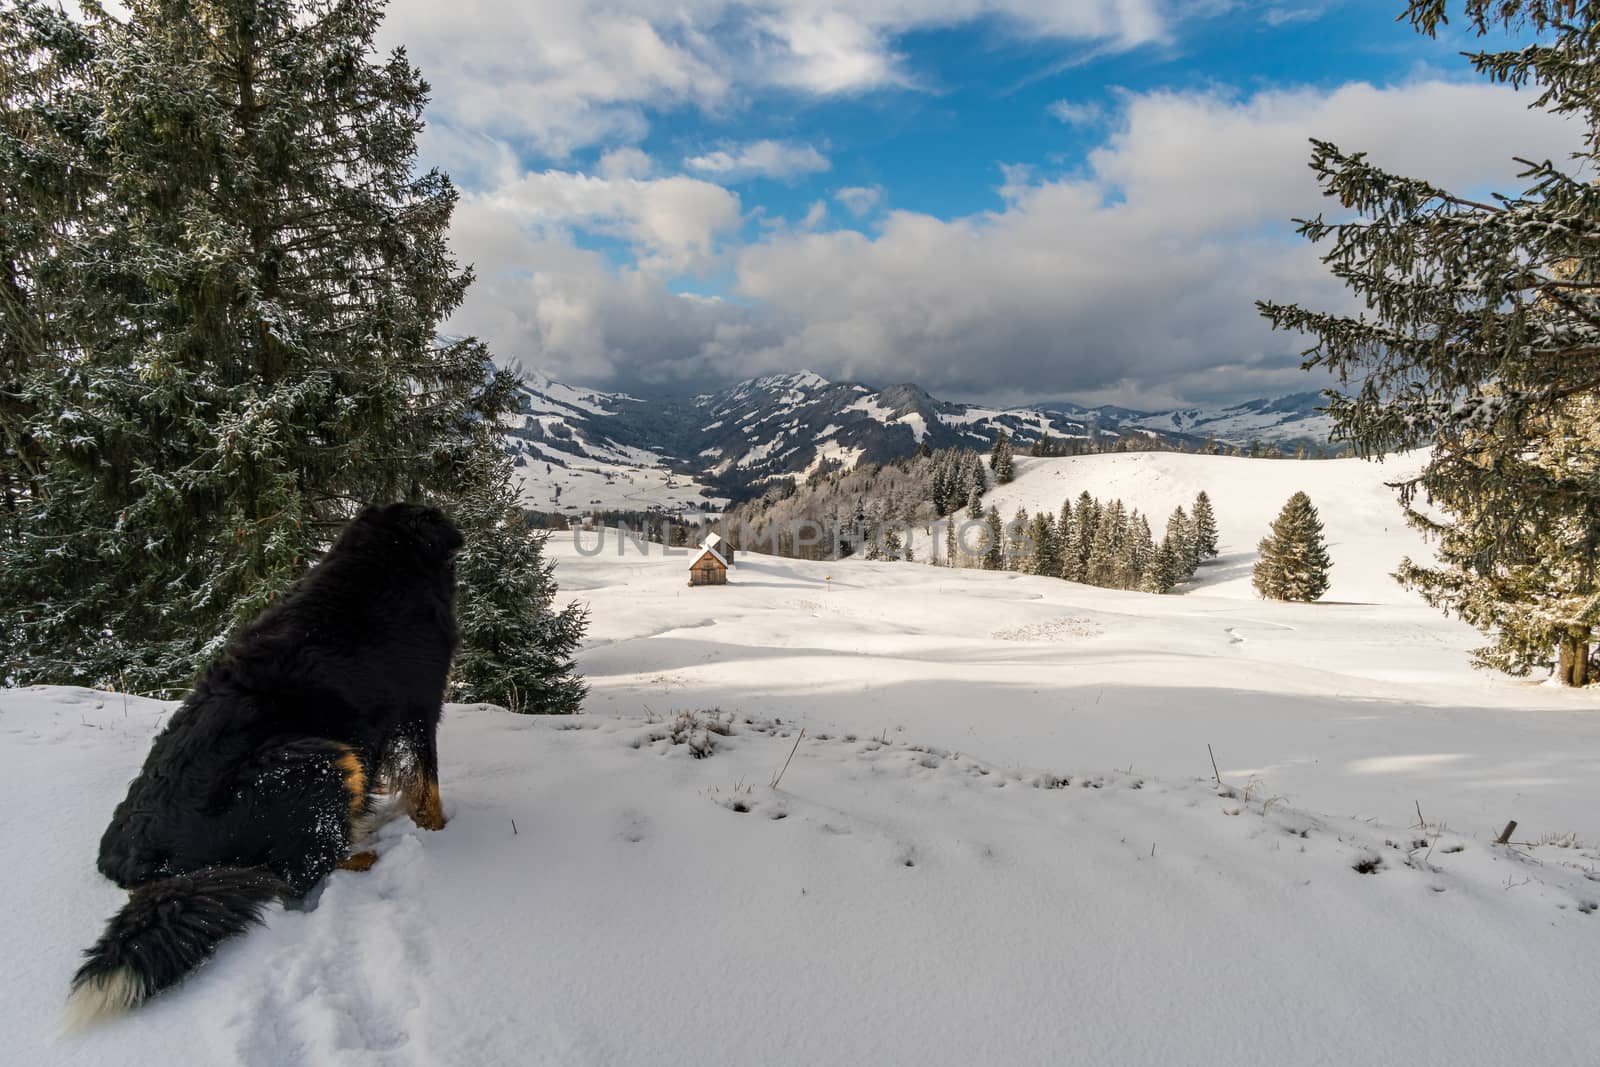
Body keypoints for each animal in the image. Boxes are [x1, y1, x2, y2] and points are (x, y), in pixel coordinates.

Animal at [70, 505, 467, 1023]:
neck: (382, 564)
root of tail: (138, 865)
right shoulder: (419, 708)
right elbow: (427, 783)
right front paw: (438, 830)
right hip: (319, 758)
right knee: (296, 872)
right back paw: (362, 856)